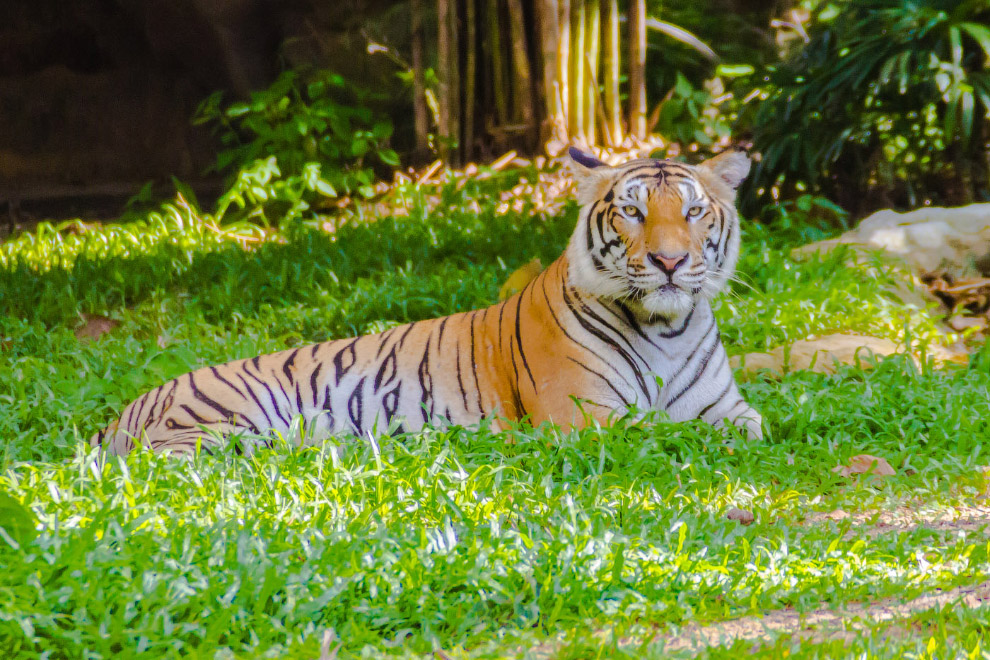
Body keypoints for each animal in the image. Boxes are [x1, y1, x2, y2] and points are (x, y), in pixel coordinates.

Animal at [91, 146, 760, 454]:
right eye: (633, 212)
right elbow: (667, 430)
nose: (669, 262)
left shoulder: (729, 408)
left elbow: (746, 427)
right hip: (218, 427)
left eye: (694, 212)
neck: (666, 327)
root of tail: (124, 411)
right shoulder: (586, 416)